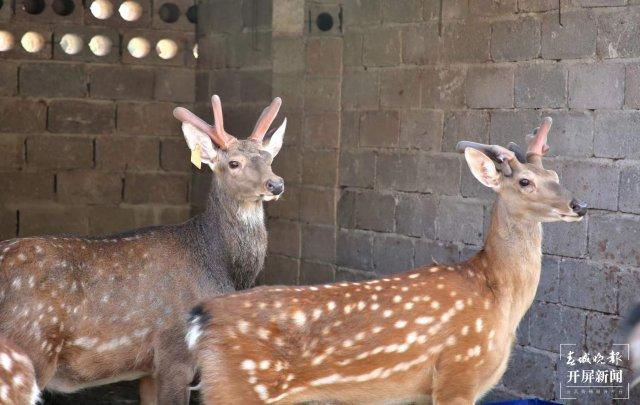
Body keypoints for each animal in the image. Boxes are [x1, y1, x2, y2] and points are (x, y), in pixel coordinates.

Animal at [0, 93, 286, 402]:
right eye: (234, 163)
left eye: (269, 158)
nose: (276, 183)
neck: (219, 268)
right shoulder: (175, 353)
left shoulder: (149, 371)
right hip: (30, 347)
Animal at [188, 117, 588, 404]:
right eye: (524, 182)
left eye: (555, 174)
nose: (580, 204)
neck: (498, 298)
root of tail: (199, 320)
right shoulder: (458, 371)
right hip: (239, 388)